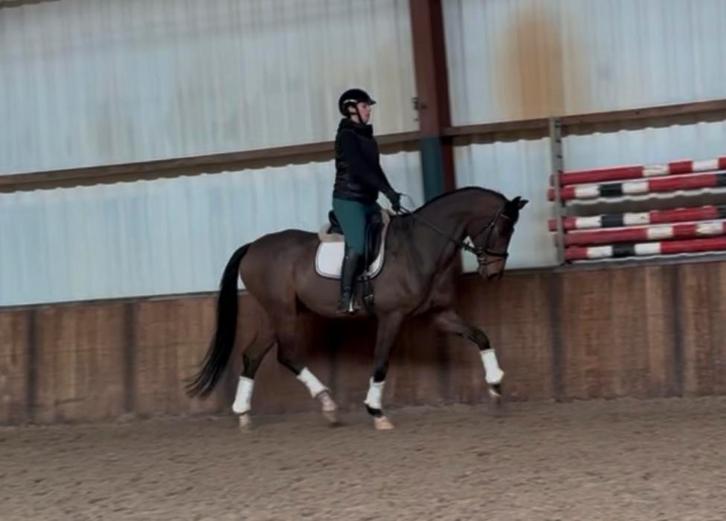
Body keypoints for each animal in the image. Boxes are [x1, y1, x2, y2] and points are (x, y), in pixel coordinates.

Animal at [186, 187, 528, 430]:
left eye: (511, 231)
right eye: (502, 229)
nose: (493, 274)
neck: (419, 246)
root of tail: (252, 247)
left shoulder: (439, 314)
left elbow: (480, 335)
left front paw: (495, 384)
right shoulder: (391, 316)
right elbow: (381, 362)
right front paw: (376, 411)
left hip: (276, 313)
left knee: (252, 355)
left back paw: (244, 413)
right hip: (282, 311)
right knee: (287, 355)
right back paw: (327, 404)